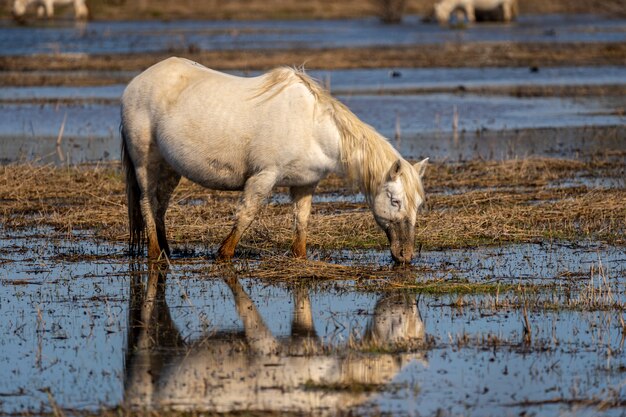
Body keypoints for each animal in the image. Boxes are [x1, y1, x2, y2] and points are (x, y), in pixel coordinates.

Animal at [120, 57, 426, 262]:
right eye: (395, 200)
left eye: (418, 204)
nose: (406, 255)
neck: (312, 126)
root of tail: (135, 83)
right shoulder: (263, 177)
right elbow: (246, 215)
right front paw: (224, 254)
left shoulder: (305, 184)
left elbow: (301, 222)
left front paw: (299, 257)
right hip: (145, 163)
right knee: (147, 202)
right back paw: (156, 253)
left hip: (169, 168)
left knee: (160, 205)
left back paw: (165, 249)